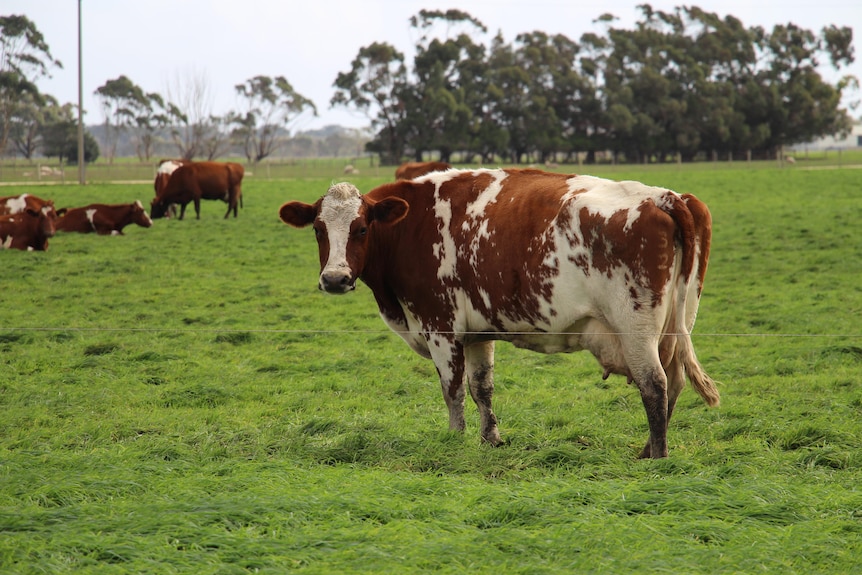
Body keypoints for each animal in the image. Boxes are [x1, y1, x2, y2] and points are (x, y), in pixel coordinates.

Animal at [280, 168, 720, 460]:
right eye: (319, 229)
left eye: (361, 228)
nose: (335, 279)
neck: (413, 224)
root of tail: (664, 196)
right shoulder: (477, 333)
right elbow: (482, 388)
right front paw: (489, 439)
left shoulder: (440, 327)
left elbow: (453, 391)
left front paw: (454, 441)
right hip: (677, 324)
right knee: (675, 381)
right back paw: (648, 449)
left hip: (636, 327)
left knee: (655, 385)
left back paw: (656, 457)